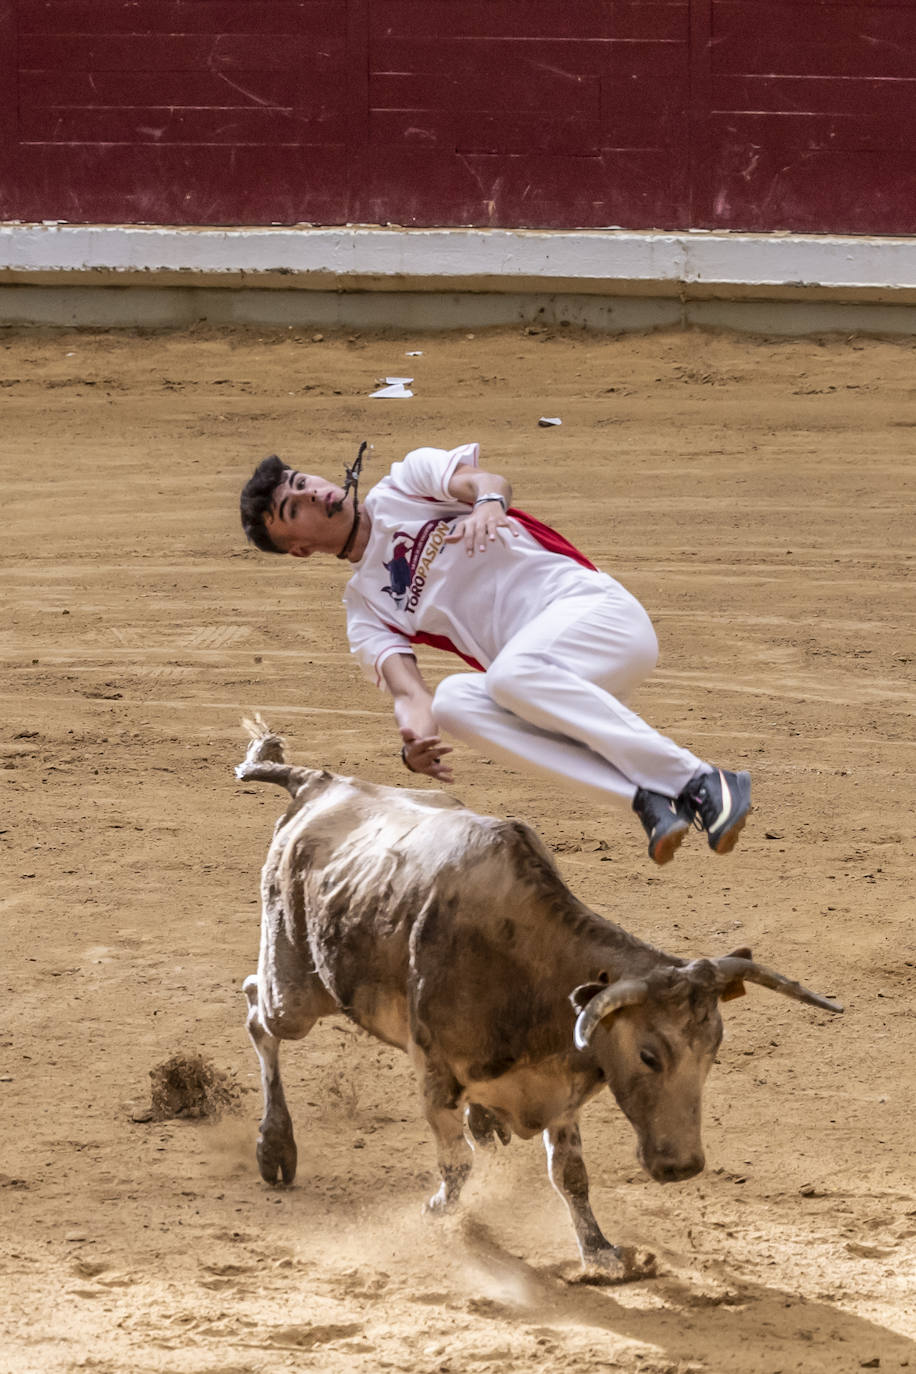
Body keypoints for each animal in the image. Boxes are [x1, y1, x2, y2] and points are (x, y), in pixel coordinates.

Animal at [236, 719, 845, 1275]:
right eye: (649, 1055)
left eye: (715, 1048)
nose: (683, 1166)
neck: (528, 967)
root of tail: (320, 783)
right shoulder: (434, 1074)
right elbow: (456, 1166)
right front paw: (437, 1214)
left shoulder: (561, 1090)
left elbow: (570, 1175)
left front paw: (599, 1252)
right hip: (293, 989)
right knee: (259, 1012)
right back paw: (276, 1147)